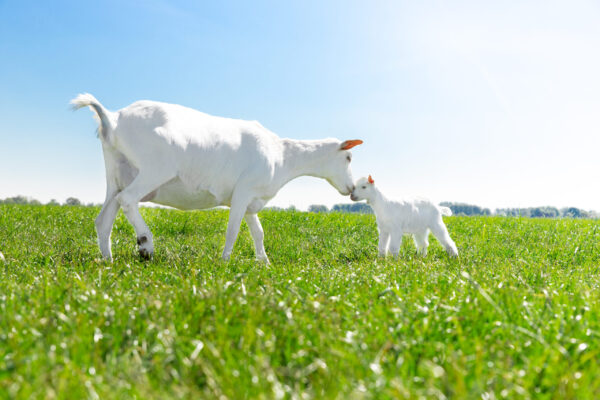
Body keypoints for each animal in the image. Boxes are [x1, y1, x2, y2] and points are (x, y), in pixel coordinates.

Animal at [70, 93, 360, 262]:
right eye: (348, 158)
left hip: (117, 172)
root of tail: (113, 118)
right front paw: (224, 262)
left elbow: (258, 232)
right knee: (128, 199)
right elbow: (233, 230)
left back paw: (108, 260)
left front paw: (264, 263)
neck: (282, 155)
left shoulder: (250, 199)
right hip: (156, 168)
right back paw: (146, 245)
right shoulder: (243, 192)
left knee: (104, 217)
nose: (351, 188)